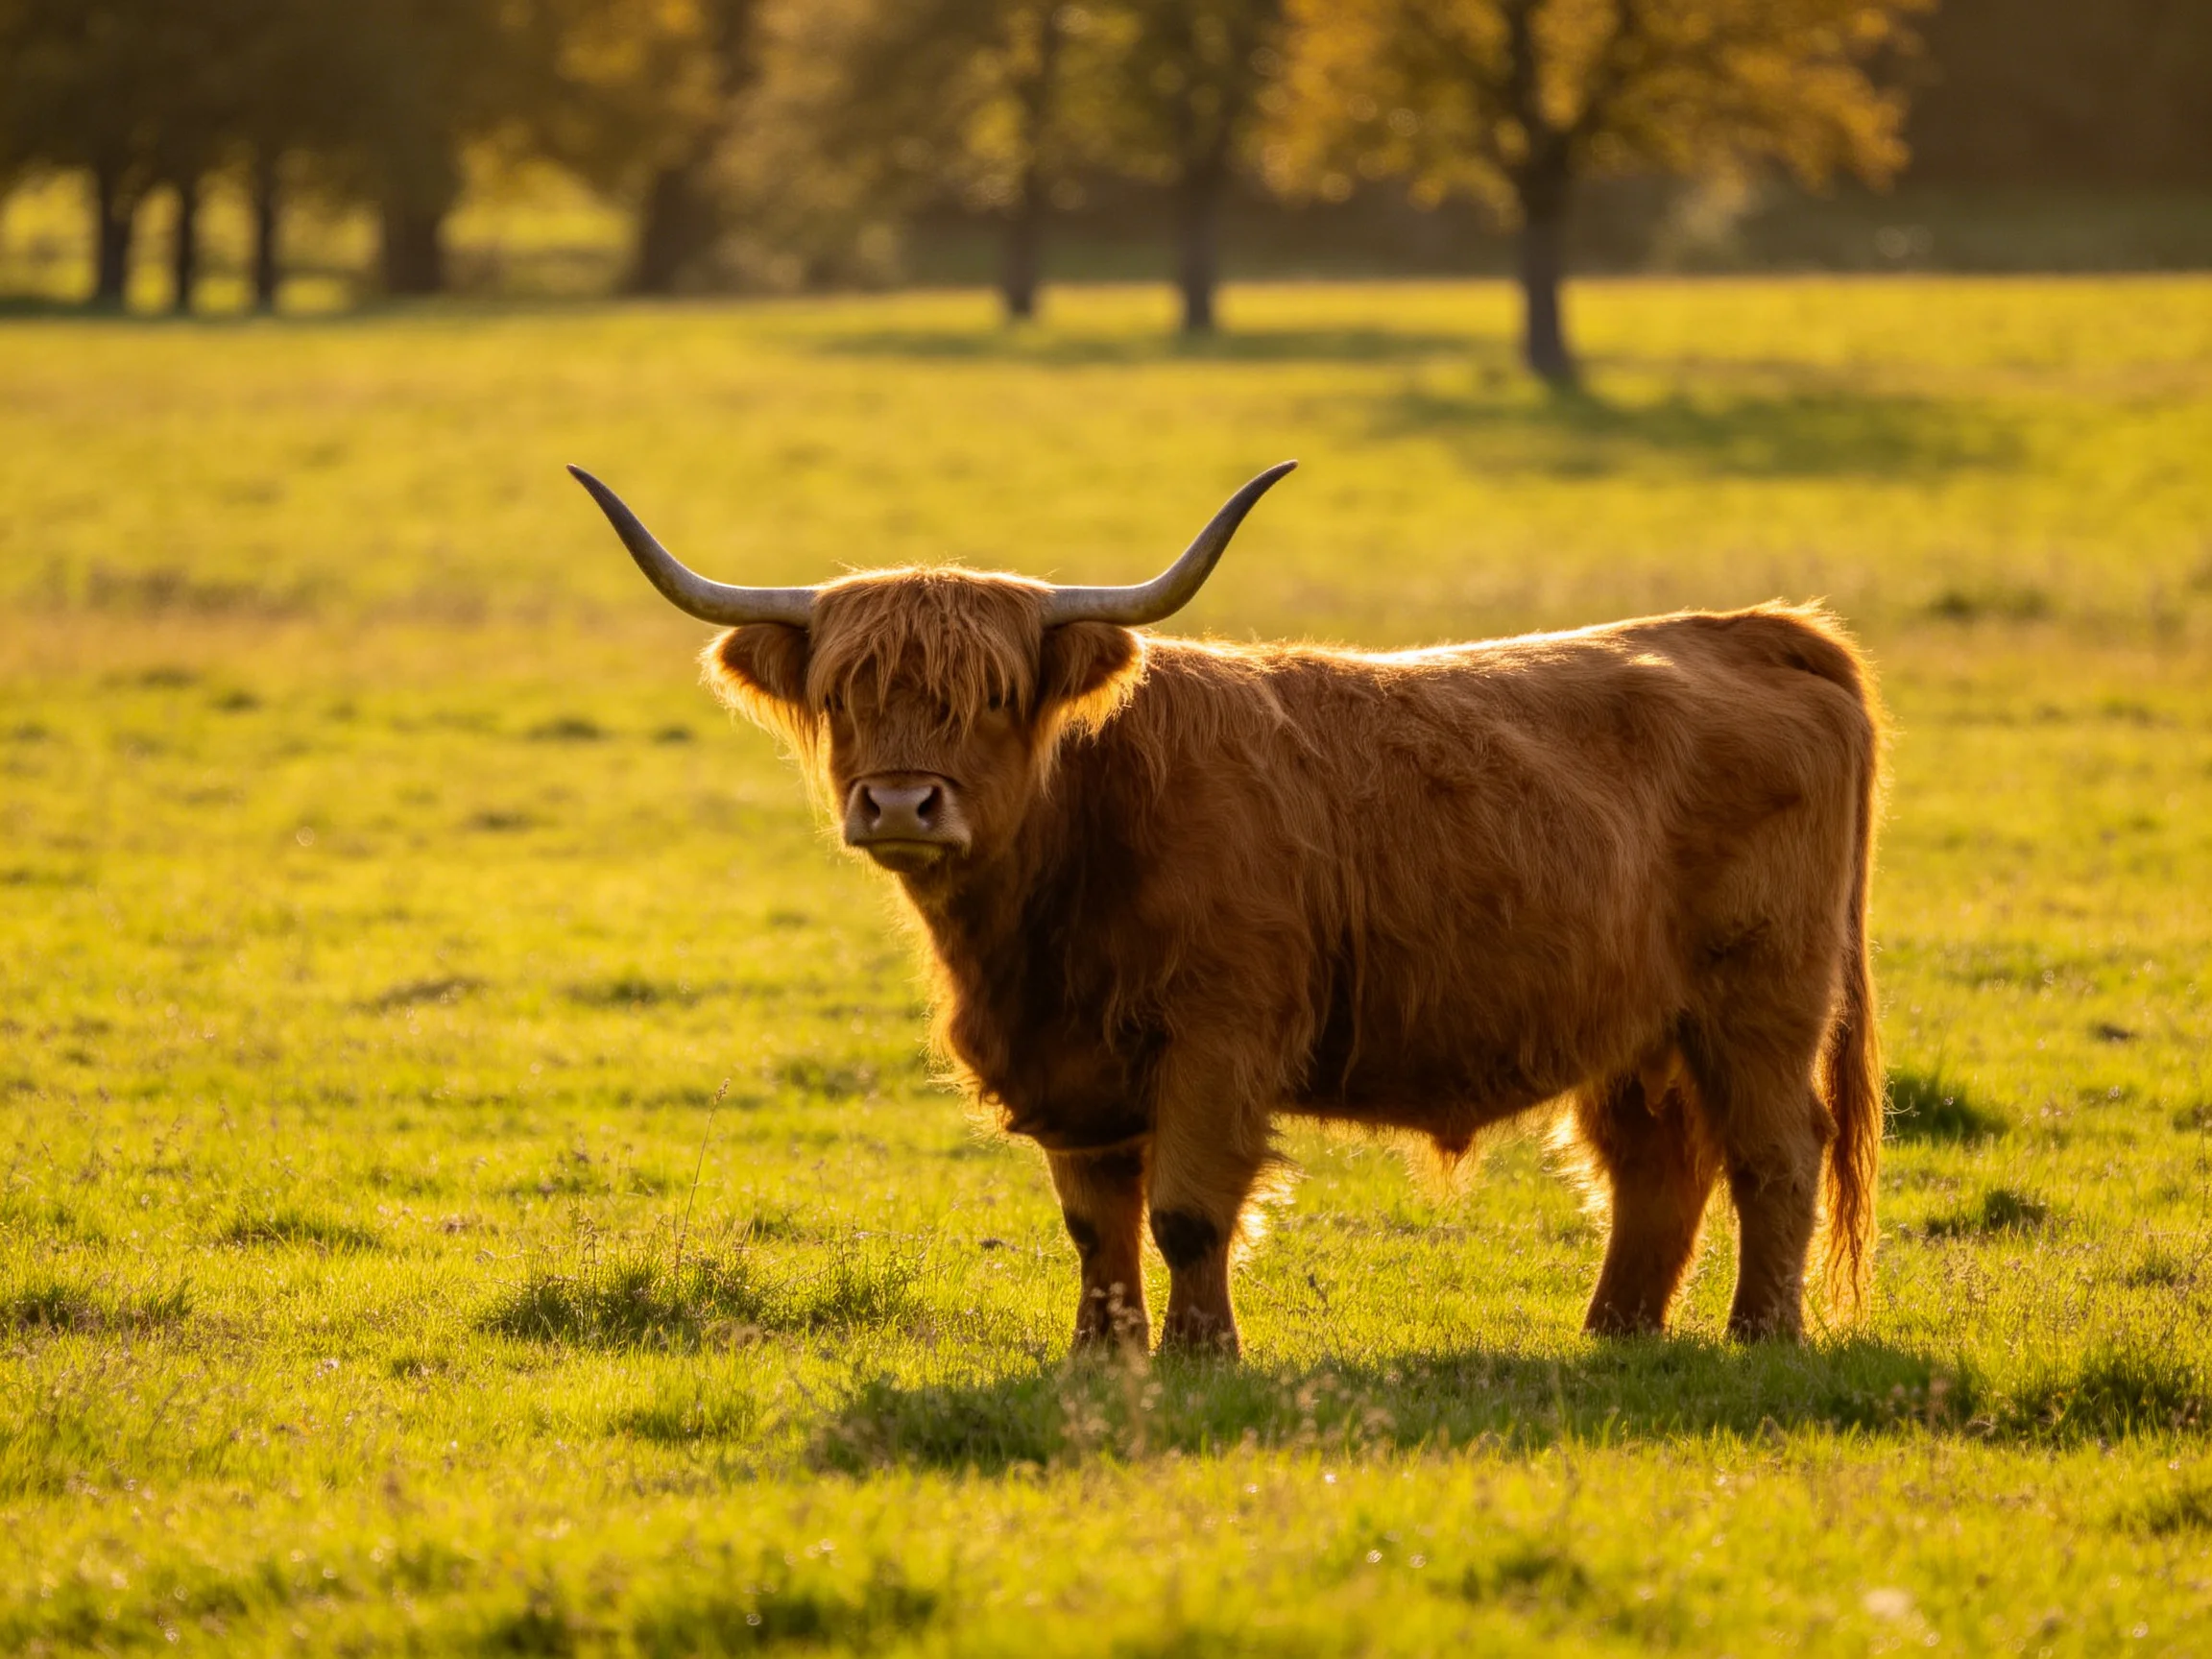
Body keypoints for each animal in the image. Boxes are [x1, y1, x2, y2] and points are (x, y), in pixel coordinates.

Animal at [569, 461, 1883, 1356]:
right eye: (846, 693)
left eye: (991, 694)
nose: (901, 801)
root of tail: (1754, 631)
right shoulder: (1074, 1072)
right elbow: (1096, 1227)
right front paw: (1103, 1357)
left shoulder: (1219, 1038)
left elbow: (1190, 1213)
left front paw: (1206, 1357)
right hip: (1638, 1030)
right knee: (1655, 1166)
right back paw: (1615, 1334)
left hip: (1759, 1001)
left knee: (1775, 1151)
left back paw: (1759, 1337)